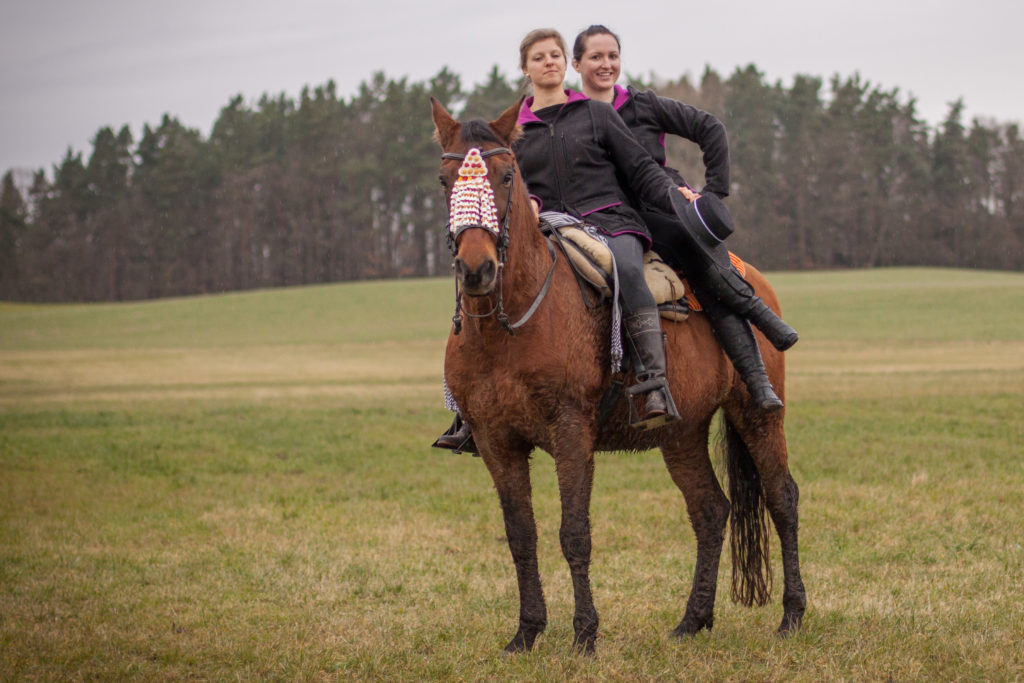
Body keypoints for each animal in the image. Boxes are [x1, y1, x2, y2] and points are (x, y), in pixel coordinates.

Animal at [432, 97, 806, 655]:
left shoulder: (571, 433)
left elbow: (574, 533)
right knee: (710, 510)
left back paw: (792, 615)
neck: (507, 326)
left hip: (755, 415)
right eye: (444, 179)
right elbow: (521, 536)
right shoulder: (496, 441)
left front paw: (584, 634)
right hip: (682, 433)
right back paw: (692, 620)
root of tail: (755, 276)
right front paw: (526, 633)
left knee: (781, 498)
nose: (476, 268)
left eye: (505, 175)